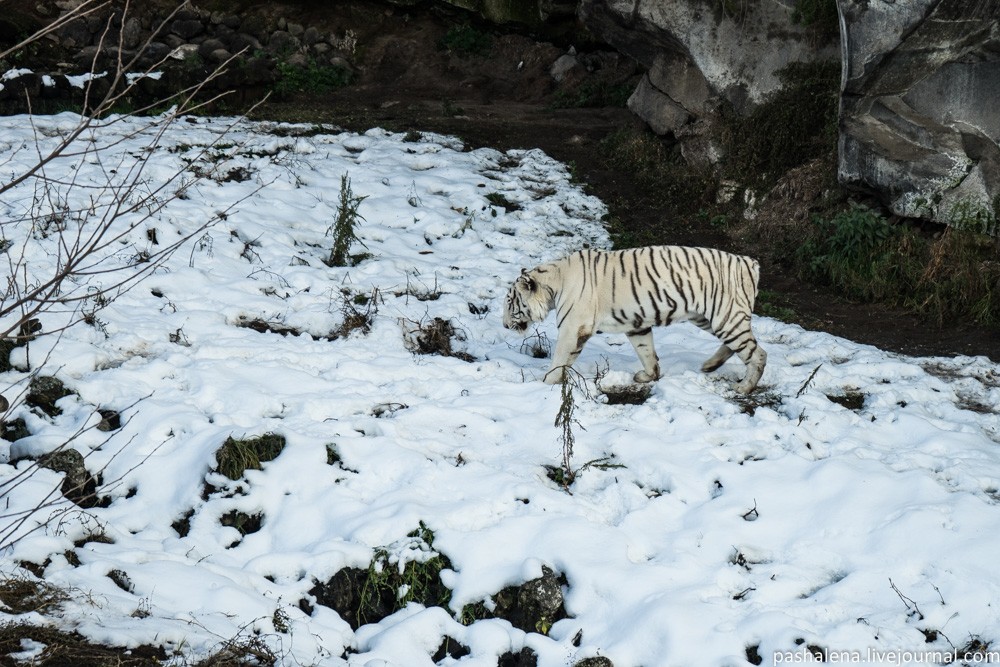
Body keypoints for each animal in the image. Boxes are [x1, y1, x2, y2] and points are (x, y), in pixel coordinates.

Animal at [504, 245, 768, 392]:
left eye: (510, 303)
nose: (505, 325)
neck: (554, 283)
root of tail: (750, 262)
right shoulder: (636, 324)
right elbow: (646, 352)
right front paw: (649, 376)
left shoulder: (573, 328)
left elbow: (559, 358)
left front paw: (546, 381)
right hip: (708, 318)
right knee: (737, 347)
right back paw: (710, 365)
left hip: (726, 317)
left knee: (758, 354)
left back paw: (744, 387)